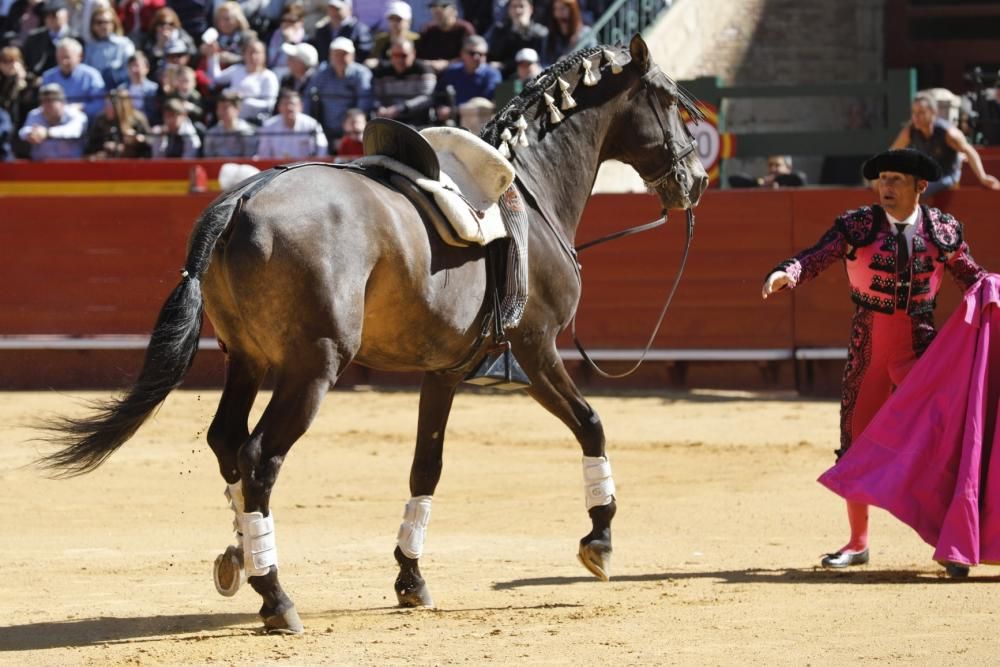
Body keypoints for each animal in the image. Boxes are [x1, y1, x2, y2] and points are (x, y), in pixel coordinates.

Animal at [41, 36, 712, 636]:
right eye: (672, 102)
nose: (698, 180)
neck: (532, 187)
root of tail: (242, 197)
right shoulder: (536, 349)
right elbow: (591, 423)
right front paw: (600, 540)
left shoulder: (444, 370)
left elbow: (426, 467)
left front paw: (411, 579)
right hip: (314, 367)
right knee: (259, 458)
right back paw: (276, 597)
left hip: (247, 358)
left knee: (227, 441)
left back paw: (240, 557)